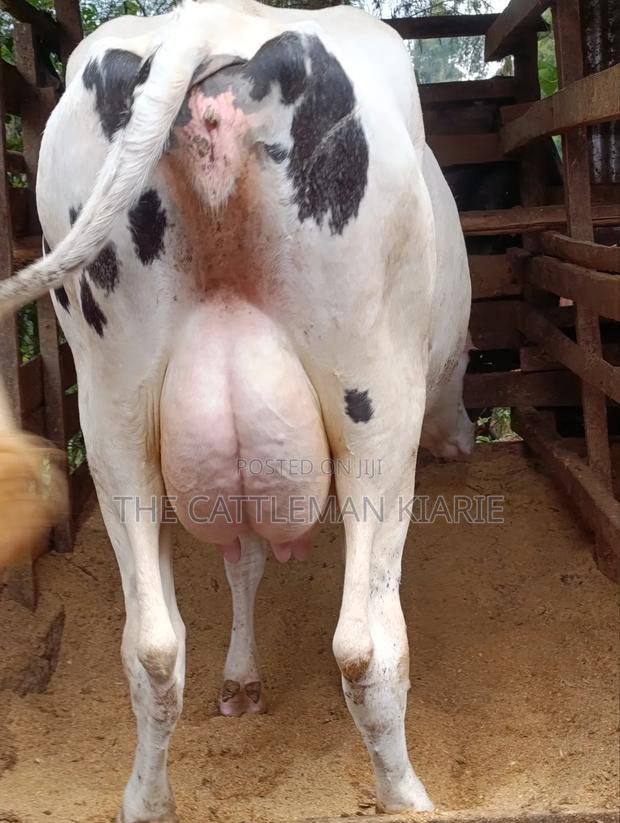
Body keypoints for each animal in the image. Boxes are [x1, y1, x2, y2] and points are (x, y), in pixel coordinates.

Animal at [0, 0, 473, 819]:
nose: (467, 440)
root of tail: (206, 21)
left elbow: (242, 563)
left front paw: (242, 680)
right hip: (376, 410)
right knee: (366, 645)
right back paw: (406, 793)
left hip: (113, 415)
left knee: (152, 645)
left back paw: (145, 798)